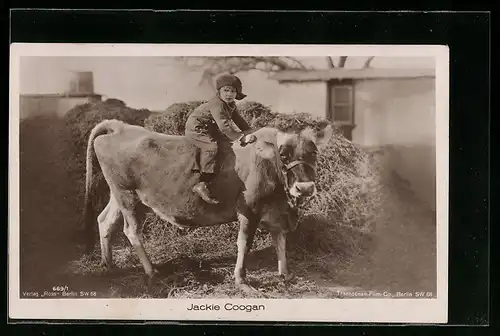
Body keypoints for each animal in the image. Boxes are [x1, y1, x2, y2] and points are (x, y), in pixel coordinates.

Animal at [82, 119, 332, 292]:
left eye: (314, 152)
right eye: (284, 155)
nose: (305, 188)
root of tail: (119, 126)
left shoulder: (277, 211)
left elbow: (280, 240)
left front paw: (286, 274)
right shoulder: (248, 210)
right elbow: (244, 244)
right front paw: (241, 281)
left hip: (118, 195)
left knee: (105, 221)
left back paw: (109, 264)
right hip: (127, 195)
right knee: (131, 230)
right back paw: (151, 271)